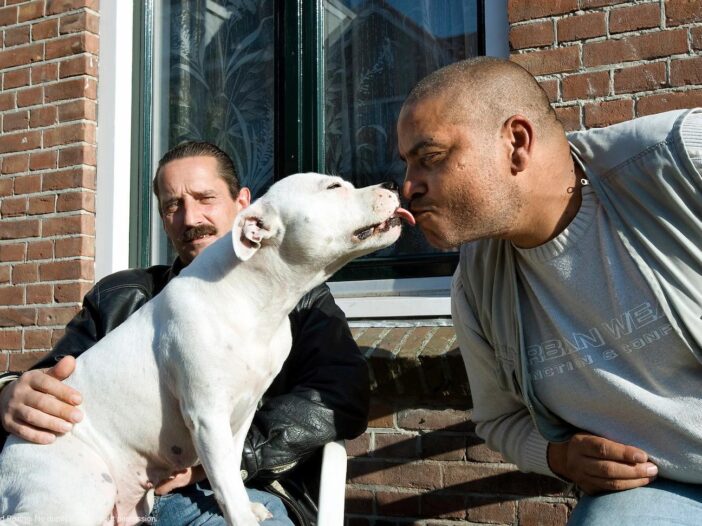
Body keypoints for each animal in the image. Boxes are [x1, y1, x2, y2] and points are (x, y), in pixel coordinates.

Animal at [0, 174, 416, 526]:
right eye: (333, 187)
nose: (393, 183)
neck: (255, 297)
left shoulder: (241, 413)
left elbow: (231, 471)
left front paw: (248, 506)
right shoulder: (207, 415)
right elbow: (226, 482)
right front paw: (243, 517)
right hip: (80, 488)